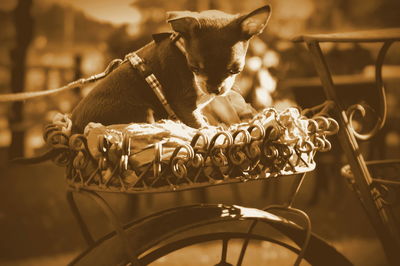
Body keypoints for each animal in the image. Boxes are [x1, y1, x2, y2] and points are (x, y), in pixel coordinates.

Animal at [72, 4, 272, 133]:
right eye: (194, 68)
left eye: (235, 70)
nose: (214, 89)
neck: (182, 49)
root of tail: (73, 127)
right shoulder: (183, 103)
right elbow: (198, 124)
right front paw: (210, 130)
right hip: (139, 110)